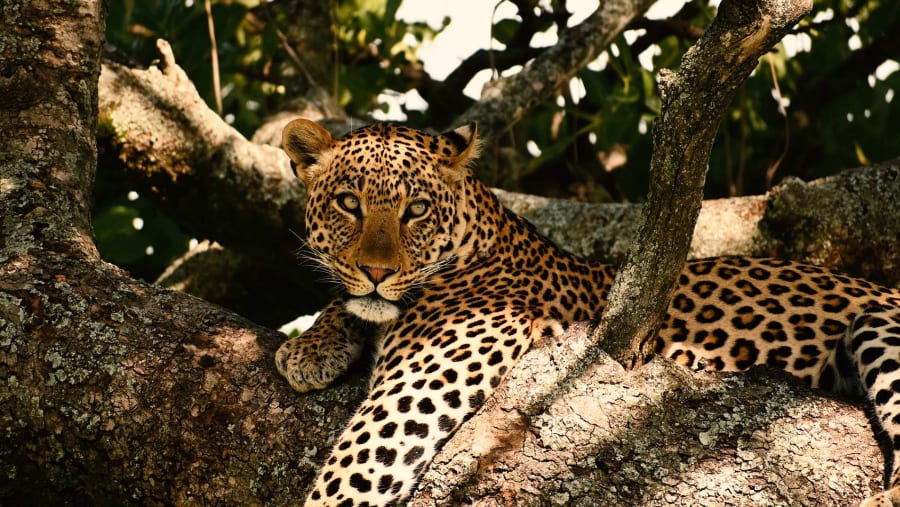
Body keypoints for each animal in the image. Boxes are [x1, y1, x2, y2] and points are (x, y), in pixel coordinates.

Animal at [275, 118, 900, 507]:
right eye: (348, 204)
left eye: (417, 210)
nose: (377, 270)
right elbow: (348, 304)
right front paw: (310, 348)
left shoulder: (435, 370)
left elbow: (355, 468)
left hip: (879, 326)